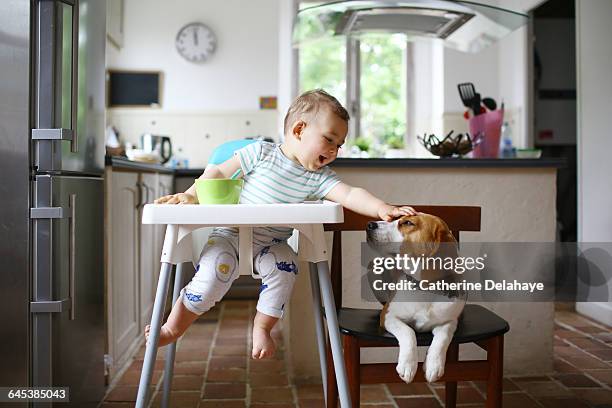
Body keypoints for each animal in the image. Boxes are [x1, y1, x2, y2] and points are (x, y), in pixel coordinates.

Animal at [368, 215, 464, 384]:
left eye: (408, 223)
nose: (369, 225)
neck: (424, 288)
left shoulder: (449, 321)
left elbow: (443, 337)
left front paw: (434, 365)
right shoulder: (388, 316)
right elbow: (408, 331)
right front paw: (408, 364)